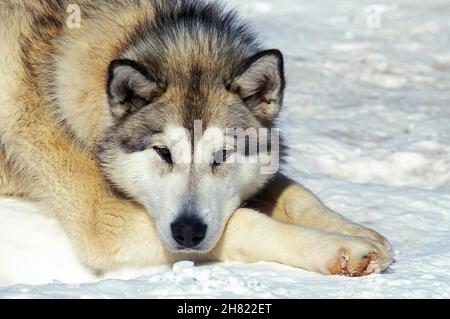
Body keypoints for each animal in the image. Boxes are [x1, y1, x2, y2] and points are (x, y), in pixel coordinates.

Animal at [0, 0, 392, 276]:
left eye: (221, 155)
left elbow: (297, 193)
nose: (187, 232)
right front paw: (341, 250)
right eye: (163, 152)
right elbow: (246, 221)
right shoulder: (106, 222)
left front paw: (357, 231)